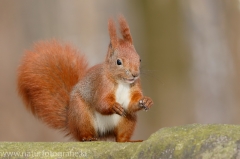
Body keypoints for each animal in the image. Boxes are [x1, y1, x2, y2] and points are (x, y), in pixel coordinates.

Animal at [16, 15, 153, 142]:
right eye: (118, 62)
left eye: (139, 59)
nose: (135, 74)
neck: (121, 82)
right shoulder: (101, 85)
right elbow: (101, 103)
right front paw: (114, 107)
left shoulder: (134, 88)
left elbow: (131, 104)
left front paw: (146, 101)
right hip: (82, 115)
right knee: (84, 133)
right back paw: (88, 138)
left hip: (127, 120)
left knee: (120, 137)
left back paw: (128, 140)